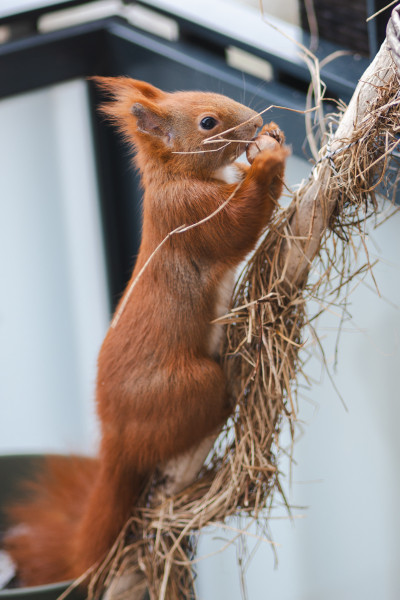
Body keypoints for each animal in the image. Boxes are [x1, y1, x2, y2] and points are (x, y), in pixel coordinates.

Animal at [3, 78, 288, 584]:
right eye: (208, 122)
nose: (256, 122)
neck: (174, 176)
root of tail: (116, 439)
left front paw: (272, 135)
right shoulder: (188, 214)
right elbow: (237, 228)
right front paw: (269, 160)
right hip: (187, 387)